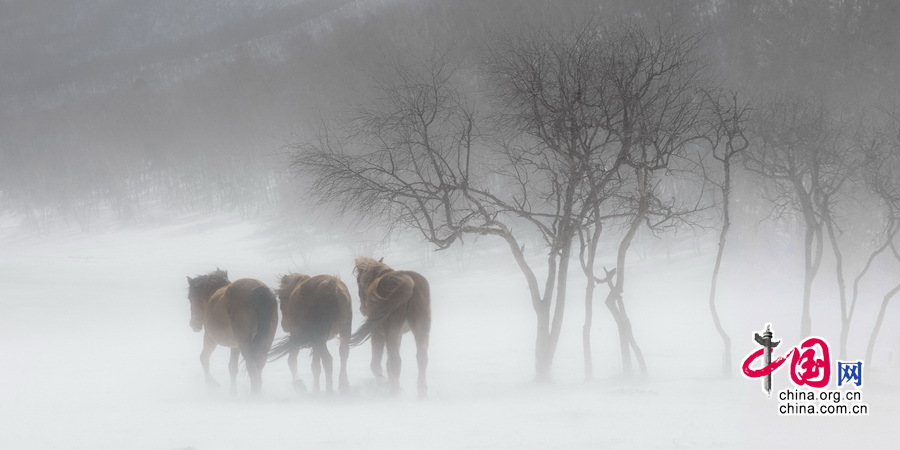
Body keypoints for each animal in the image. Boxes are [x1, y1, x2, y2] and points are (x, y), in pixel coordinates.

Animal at [186, 268, 278, 396]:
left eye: (190, 297)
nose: (193, 324)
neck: (212, 294)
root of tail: (258, 290)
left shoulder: (210, 338)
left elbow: (203, 358)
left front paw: (212, 383)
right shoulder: (235, 346)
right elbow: (233, 368)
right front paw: (232, 392)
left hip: (245, 344)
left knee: (252, 368)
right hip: (265, 342)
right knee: (259, 365)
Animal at [352, 256, 432, 398]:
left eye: (358, 281)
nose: (362, 309)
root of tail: (410, 284)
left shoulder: (378, 333)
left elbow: (375, 363)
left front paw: (383, 381)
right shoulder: (399, 335)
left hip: (391, 332)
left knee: (394, 362)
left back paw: (394, 393)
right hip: (421, 329)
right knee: (422, 357)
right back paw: (421, 393)